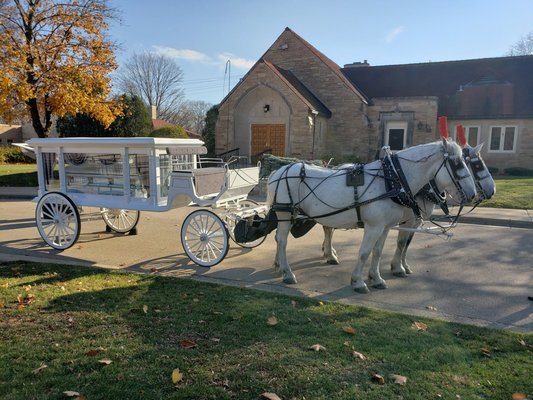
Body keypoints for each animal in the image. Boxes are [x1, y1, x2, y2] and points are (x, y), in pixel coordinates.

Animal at [268, 139, 476, 292]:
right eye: (456, 163)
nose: (472, 194)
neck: (392, 179)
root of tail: (278, 171)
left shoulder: (385, 226)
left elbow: (377, 252)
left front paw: (376, 278)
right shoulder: (374, 226)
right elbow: (365, 252)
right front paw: (358, 282)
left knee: (281, 238)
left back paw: (281, 266)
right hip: (285, 212)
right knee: (282, 240)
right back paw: (288, 273)